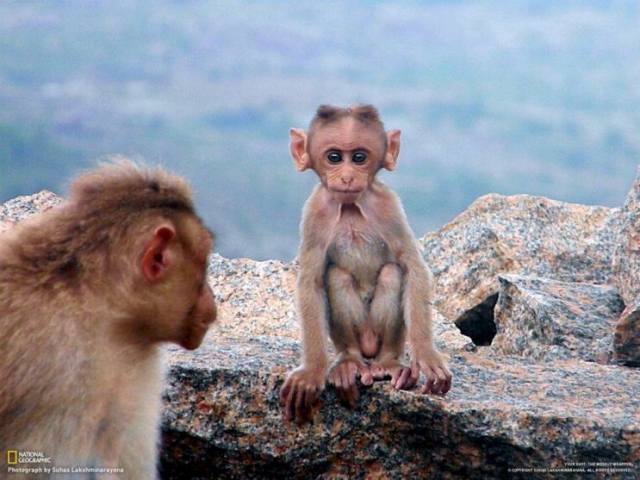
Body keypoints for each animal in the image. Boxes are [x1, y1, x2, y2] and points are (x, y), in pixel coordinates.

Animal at [278, 105, 450, 424]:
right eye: (334, 157)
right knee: (335, 276)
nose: (347, 177)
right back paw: (349, 363)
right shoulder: (315, 213)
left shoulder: (388, 205)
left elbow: (413, 268)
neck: (350, 207)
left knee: (392, 273)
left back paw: (389, 364)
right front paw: (312, 372)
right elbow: (311, 282)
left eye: (359, 157)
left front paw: (426, 355)